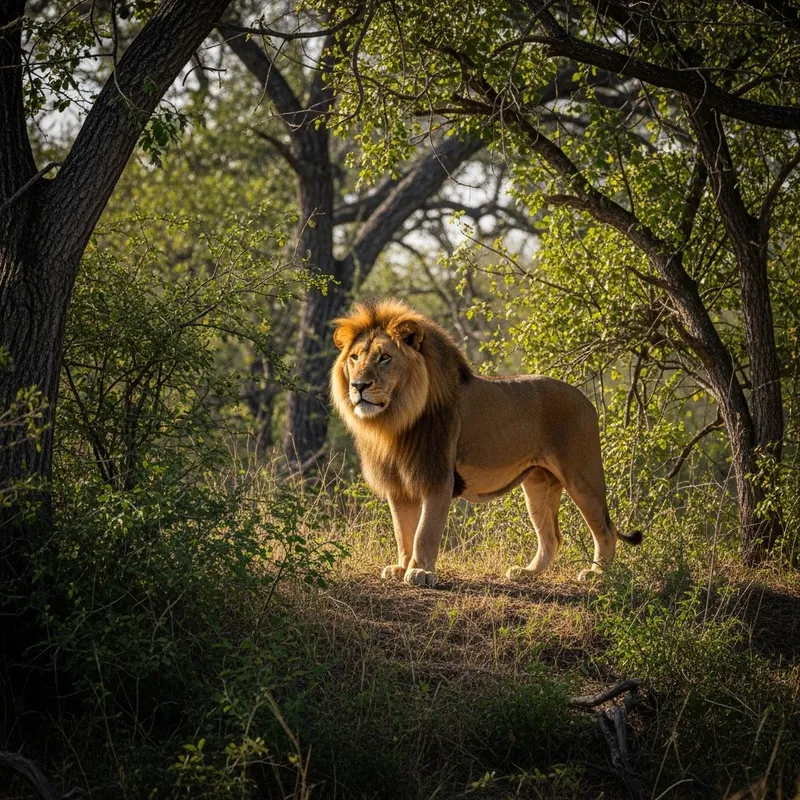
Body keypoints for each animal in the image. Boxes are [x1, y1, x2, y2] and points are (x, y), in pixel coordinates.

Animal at [331, 298, 642, 587]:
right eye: (355, 358)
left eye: (384, 358)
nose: (358, 386)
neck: (395, 422)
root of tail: (586, 399)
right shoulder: (398, 483)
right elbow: (403, 531)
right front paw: (401, 567)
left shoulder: (438, 477)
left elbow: (424, 531)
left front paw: (420, 572)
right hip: (538, 482)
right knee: (551, 536)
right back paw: (527, 573)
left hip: (581, 476)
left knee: (605, 529)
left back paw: (598, 575)